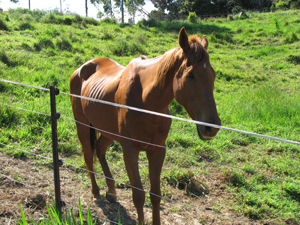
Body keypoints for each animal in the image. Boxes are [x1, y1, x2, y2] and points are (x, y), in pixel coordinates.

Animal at [69, 27, 220, 224]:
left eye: (213, 75)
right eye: (190, 75)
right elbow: (139, 195)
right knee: (88, 155)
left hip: (107, 131)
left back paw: (111, 190)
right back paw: (96, 192)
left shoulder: (158, 150)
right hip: (83, 126)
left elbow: (155, 195)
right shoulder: (130, 150)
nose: (211, 127)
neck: (146, 102)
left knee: (100, 150)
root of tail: (81, 68)